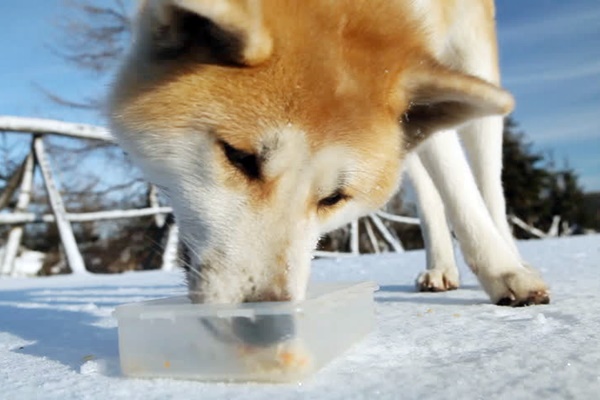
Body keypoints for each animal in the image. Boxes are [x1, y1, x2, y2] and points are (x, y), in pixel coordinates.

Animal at [108, 0, 548, 310]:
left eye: (334, 198)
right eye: (240, 158)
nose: (263, 315)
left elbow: (461, 191)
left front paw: (503, 272)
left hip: (475, 67)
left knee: (486, 181)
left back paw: (512, 256)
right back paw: (440, 267)